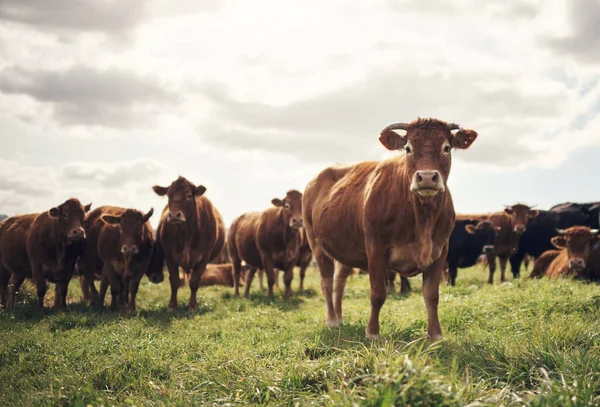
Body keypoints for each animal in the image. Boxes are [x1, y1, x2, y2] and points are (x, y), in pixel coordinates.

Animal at [152, 175, 227, 312]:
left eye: (188, 195)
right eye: (168, 195)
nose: (174, 215)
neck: (187, 233)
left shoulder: (204, 258)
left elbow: (194, 282)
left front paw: (192, 307)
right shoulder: (170, 256)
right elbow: (174, 281)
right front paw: (172, 306)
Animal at [304, 118, 478, 342]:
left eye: (446, 147)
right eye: (408, 148)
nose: (427, 177)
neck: (422, 219)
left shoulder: (440, 251)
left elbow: (431, 295)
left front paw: (435, 334)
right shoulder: (376, 249)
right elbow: (378, 293)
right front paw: (372, 332)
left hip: (345, 249)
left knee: (339, 282)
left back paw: (340, 318)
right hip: (316, 244)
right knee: (326, 282)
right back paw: (332, 320)